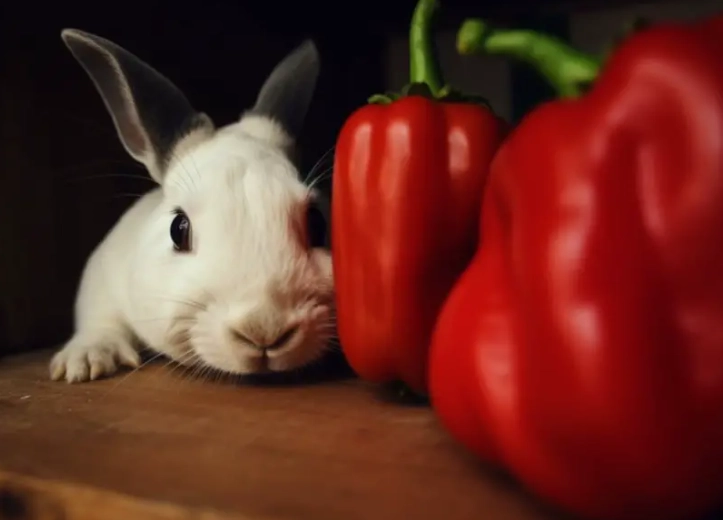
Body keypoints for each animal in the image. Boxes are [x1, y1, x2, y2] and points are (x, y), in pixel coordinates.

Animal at [49, 29, 335, 383]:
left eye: (317, 222)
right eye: (178, 229)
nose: (264, 326)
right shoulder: (101, 277)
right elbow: (102, 320)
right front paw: (85, 362)